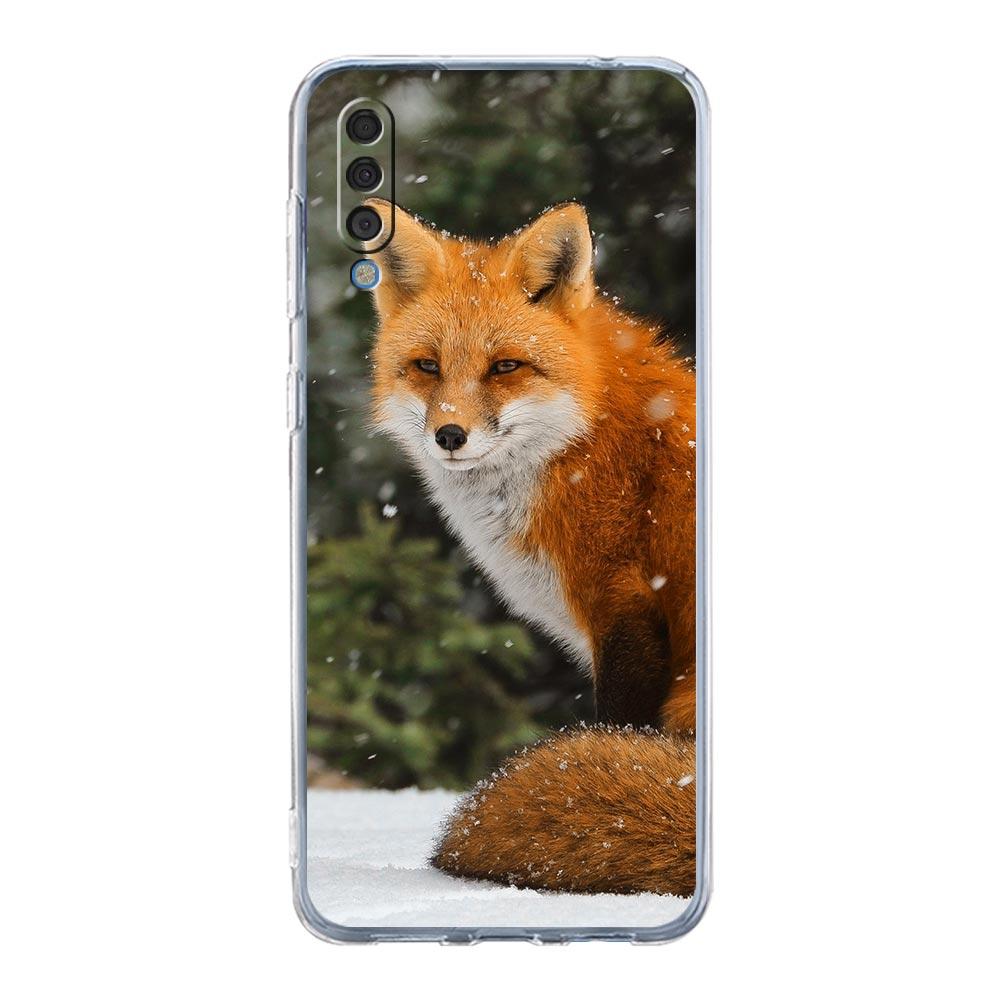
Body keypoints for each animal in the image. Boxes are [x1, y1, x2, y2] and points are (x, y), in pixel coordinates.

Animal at [364, 198, 698, 896]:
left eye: (505, 366)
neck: (583, 443)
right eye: (428, 366)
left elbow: (618, 729)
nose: (450, 435)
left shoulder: (624, 608)